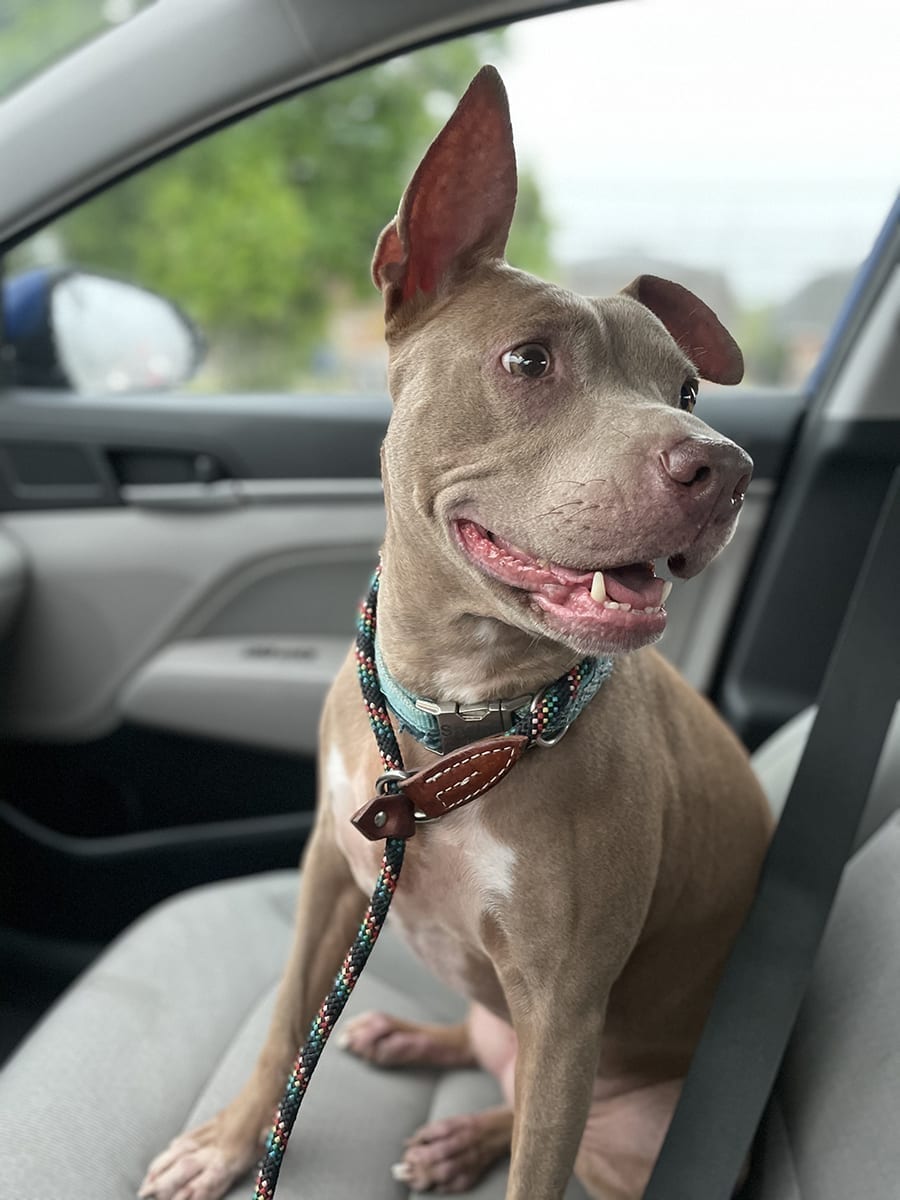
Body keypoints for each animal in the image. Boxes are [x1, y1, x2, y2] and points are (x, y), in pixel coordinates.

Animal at [141, 65, 777, 1200]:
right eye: (528, 360)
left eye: (688, 389)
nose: (727, 467)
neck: (457, 721)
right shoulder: (325, 867)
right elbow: (282, 1023)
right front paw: (231, 1140)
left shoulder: (564, 1007)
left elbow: (537, 1158)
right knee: (486, 1053)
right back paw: (416, 1048)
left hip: (623, 1124)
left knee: (529, 1109)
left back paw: (458, 1132)